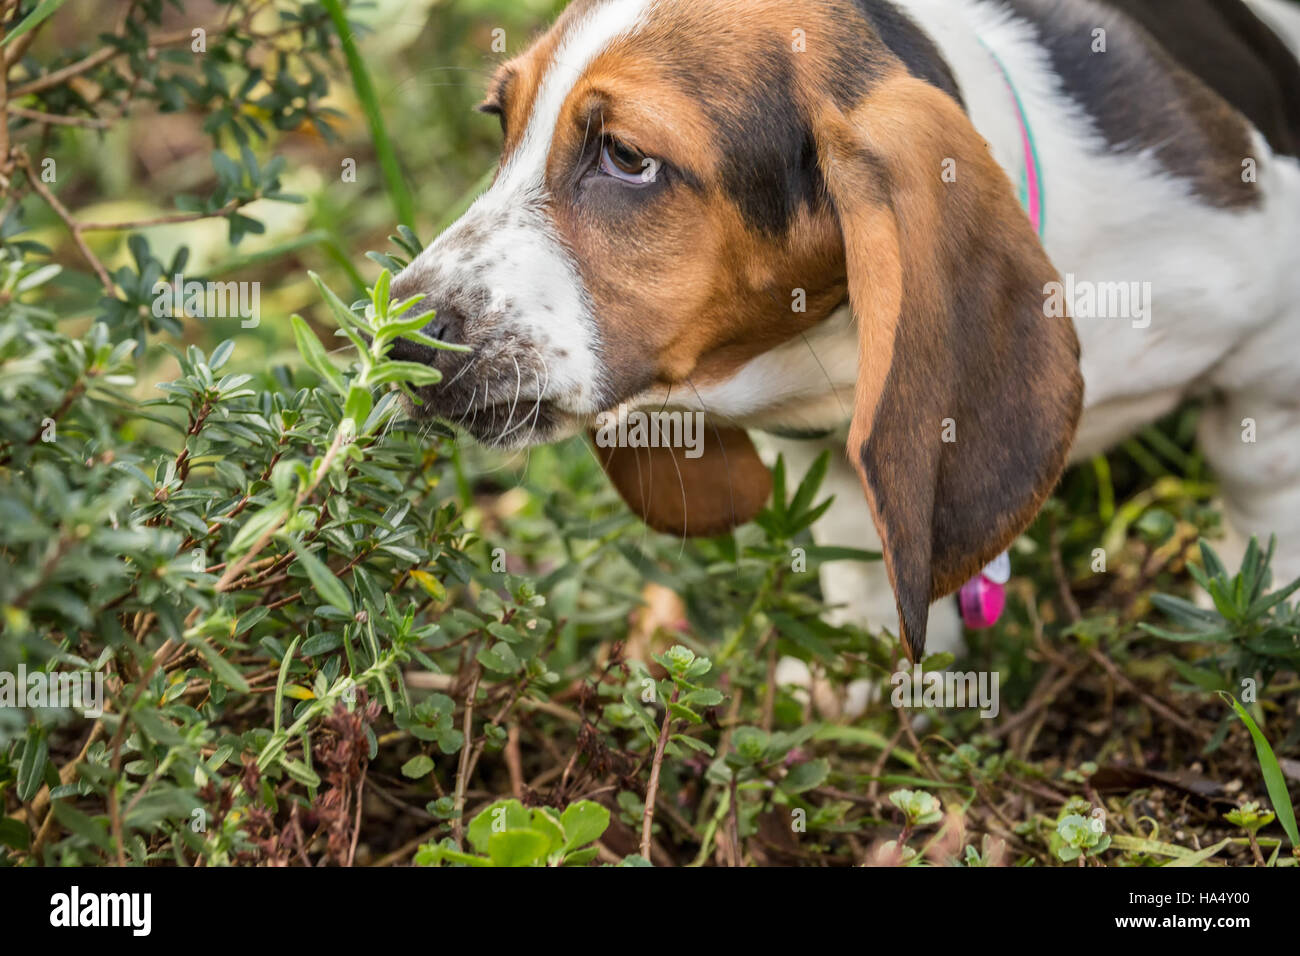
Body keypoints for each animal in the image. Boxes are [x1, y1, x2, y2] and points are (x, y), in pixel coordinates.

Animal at [390, 0, 1300, 660]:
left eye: (626, 156)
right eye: (499, 121)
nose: (396, 340)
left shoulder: (1268, 341)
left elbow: (1258, 477)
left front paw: (1257, 594)